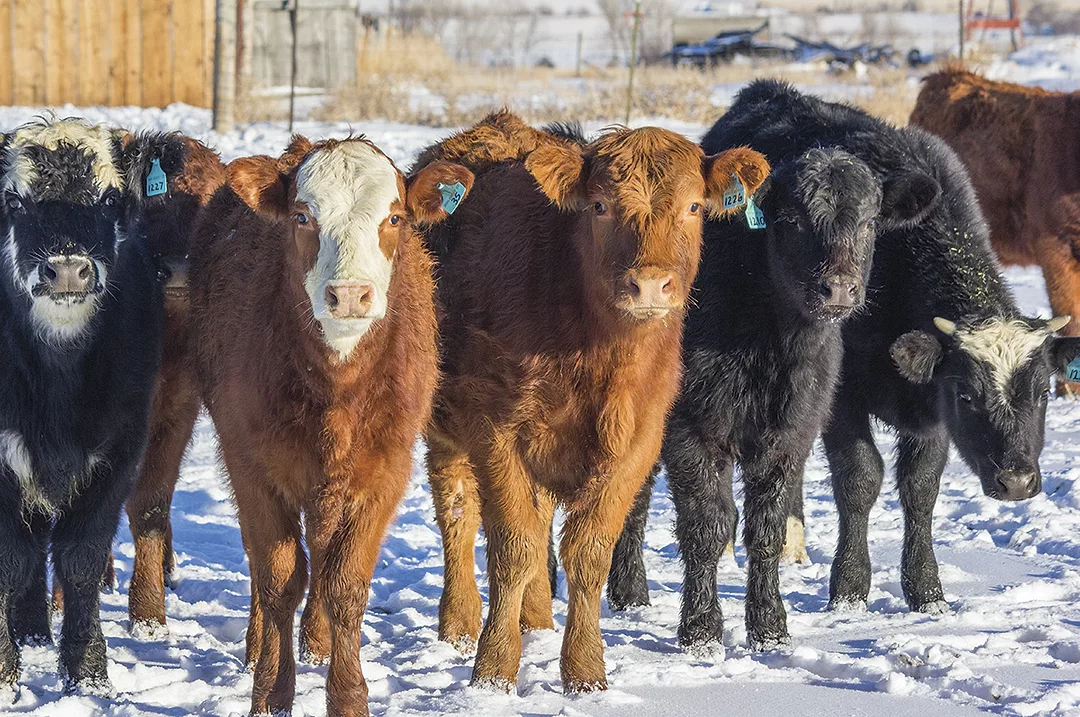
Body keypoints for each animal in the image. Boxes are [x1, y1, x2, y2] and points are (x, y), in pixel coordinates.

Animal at [0, 118, 164, 697]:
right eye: (14, 201)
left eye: (110, 198)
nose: (68, 270)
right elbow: (10, 560)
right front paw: (4, 676)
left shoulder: (117, 453)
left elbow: (81, 559)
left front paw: (88, 675)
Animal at [189, 136, 470, 716]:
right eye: (302, 216)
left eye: (394, 217)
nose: (349, 294)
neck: (337, 391)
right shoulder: (251, 465)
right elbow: (277, 577)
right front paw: (272, 690)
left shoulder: (384, 471)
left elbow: (345, 582)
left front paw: (346, 695)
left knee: (322, 556)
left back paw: (316, 643)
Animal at [413, 111, 769, 692]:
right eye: (600, 206)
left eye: (694, 206)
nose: (649, 284)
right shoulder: (496, 432)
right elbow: (513, 546)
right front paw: (493, 669)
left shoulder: (638, 443)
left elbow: (588, 552)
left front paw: (583, 670)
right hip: (445, 430)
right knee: (458, 517)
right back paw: (461, 622)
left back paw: (536, 619)